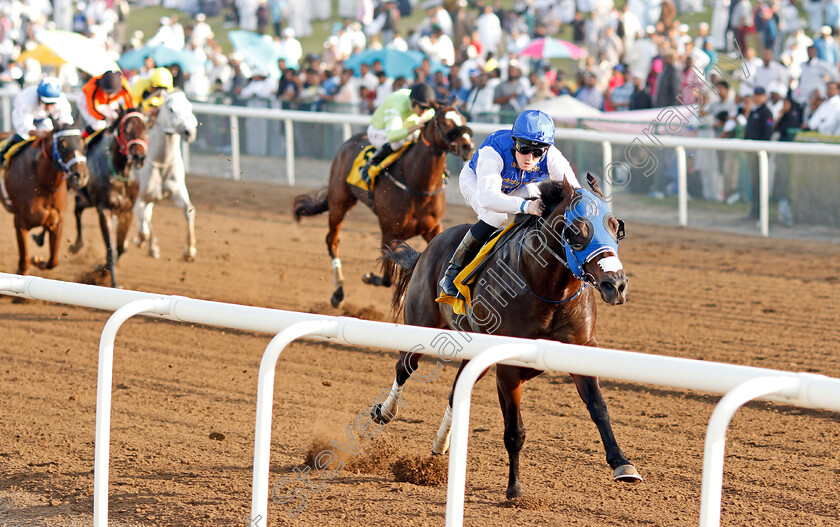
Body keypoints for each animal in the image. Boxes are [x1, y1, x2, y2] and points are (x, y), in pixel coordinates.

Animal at [0, 125, 89, 276]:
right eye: (62, 144)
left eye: (82, 142)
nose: (80, 176)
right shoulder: (20, 222)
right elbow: (24, 264)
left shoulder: (58, 221)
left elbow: (53, 261)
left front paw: (37, 260)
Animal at [70, 108, 148, 288]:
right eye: (127, 130)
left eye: (145, 127)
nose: (139, 157)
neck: (121, 172)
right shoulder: (104, 209)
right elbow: (111, 249)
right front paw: (113, 282)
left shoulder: (126, 211)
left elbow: (120, 247)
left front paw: (101, 269)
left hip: (88, 199)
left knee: (77, 206)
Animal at [290, 104, 472, 308]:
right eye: (445, 122)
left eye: (463, 119)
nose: (468, 146)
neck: (416, 184)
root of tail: (350, 140)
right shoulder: (389, 232)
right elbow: (387, 278)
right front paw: (371, 278)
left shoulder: (432, 228)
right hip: (339, 202)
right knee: (332, 241)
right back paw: (338, 292)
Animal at [370, 175, 640, 502]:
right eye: (577, 230)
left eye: (614, 226)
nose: (616, 284)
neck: (547, 289)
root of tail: (425, 251)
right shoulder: (507, 366)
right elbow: (514, 430)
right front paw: (514, 488)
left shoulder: (582, 348)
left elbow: (599, 408)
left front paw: (623, 464)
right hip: (422, 326)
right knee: (405, 367)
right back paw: (385, 411)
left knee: (455, 390)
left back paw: (441, 443)